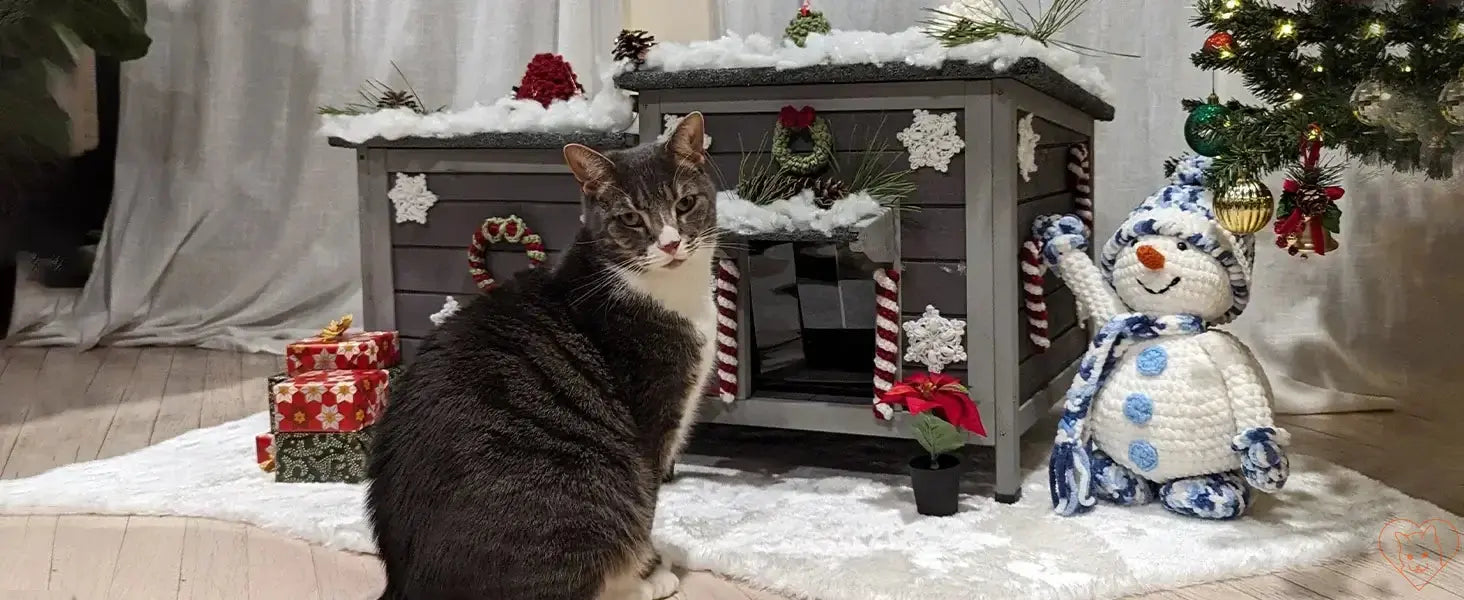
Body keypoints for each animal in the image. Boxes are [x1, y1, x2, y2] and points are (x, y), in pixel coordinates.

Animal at [366, 113, 720, 600]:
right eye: (631, 218)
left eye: (685, 203)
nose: (669, 244)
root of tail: (402, 581)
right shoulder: (652, 424)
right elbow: (646, 505)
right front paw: (646, 573)